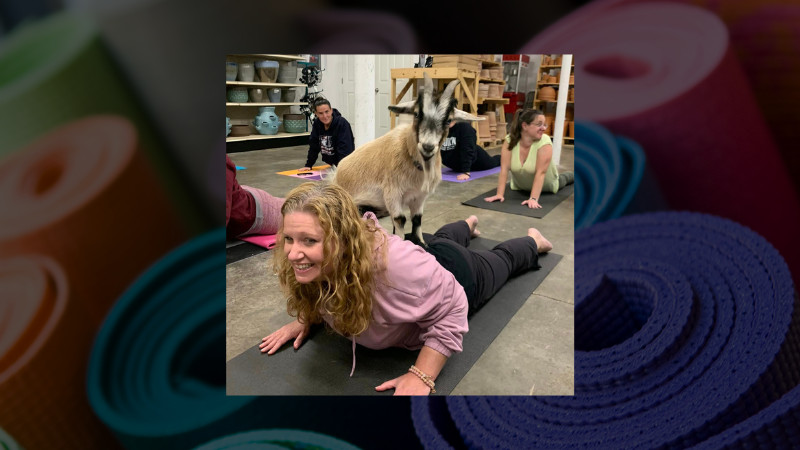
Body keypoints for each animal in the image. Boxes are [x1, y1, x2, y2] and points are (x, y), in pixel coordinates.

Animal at [332, 72, 482, 244]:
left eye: (449, 120)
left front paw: (422, 242)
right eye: (416, 114)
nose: (428, 147)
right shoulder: (393, 194)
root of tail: (335, 173)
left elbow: (417, 219)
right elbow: (400, 219)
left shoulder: (419, 197)